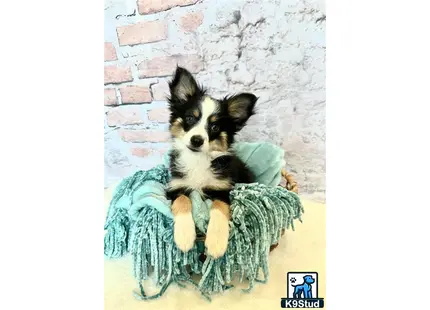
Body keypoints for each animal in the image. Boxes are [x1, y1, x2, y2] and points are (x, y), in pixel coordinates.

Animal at [166, 66, 256, 258]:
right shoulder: (174, 187)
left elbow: (219, 208)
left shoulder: (223, 189)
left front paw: (216, 243)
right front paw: (184, 237)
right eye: (190, 118)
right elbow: (182, 200)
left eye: (214, 127)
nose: (197, 140)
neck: (198, 159)